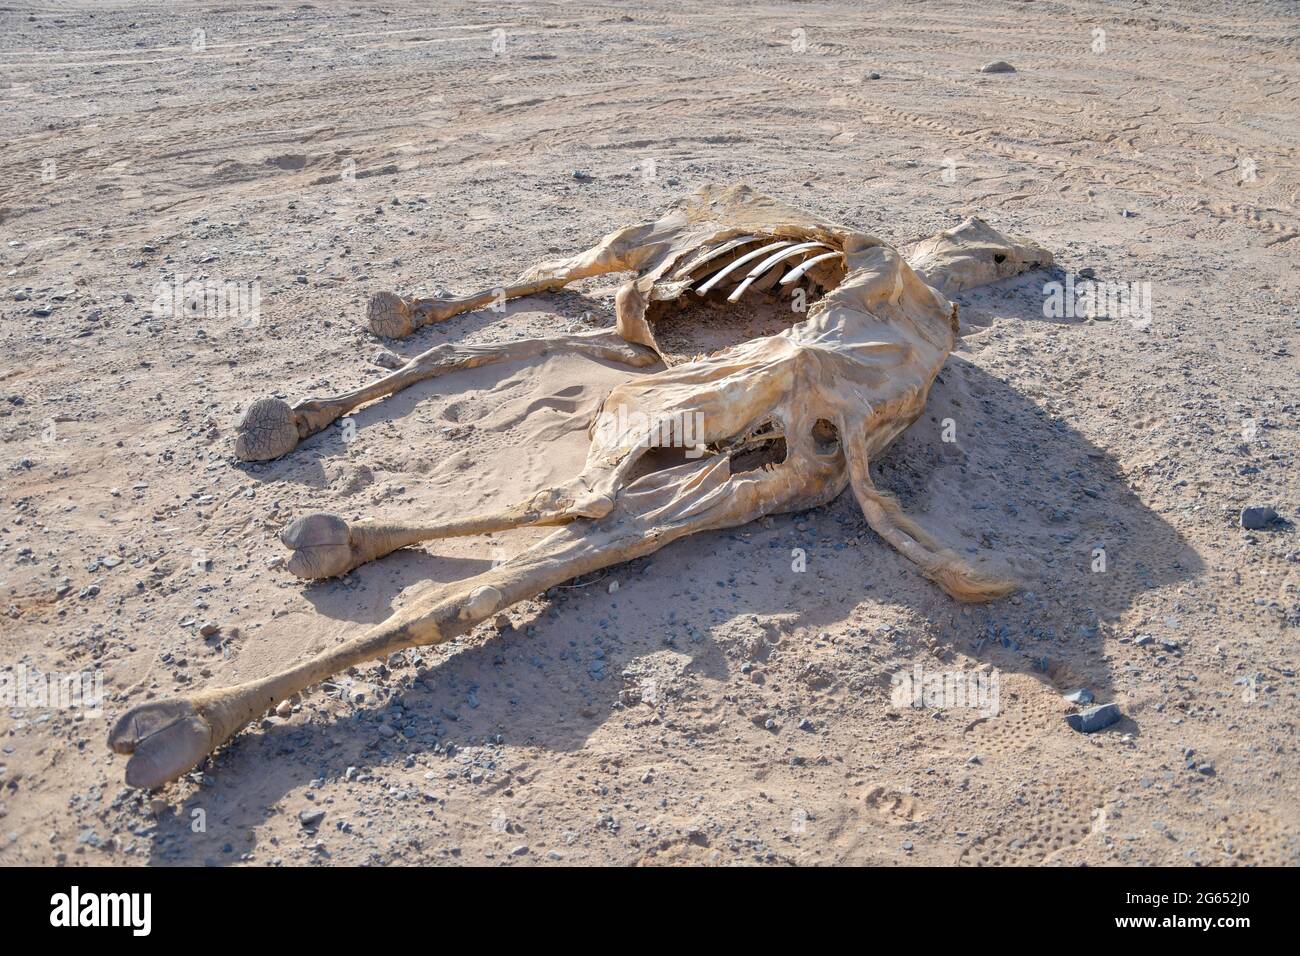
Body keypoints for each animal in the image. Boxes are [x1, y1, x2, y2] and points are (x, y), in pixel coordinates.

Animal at [109, 184, 1051, 789]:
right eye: (998, 245)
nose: (1042, 256)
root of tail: (862, 413)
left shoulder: (639, 297)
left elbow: (513, 305)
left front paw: (379, 334)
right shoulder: (634, 327)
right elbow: (473, 348)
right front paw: (319, 393)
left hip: (703, 399)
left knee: (581, 502)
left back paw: (188, 713)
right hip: (767, 469)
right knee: (588, 533)